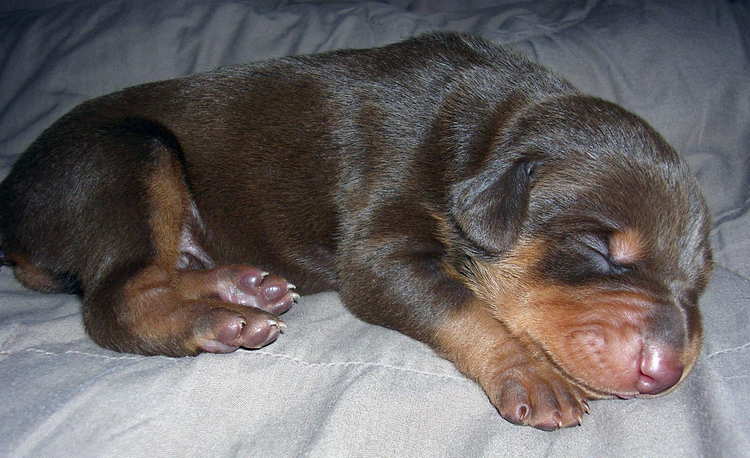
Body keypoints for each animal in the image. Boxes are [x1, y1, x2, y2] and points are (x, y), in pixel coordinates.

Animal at [0, 33, 712, 430]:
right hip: (125, 155)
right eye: (601, 249)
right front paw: (532, 375)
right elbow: (465, 306)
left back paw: (242, 287)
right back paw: (218, 321)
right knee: (118, 300)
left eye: (699, 282)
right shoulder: (379, 252)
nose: (666, 372)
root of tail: (13, 214)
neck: (483, 136)